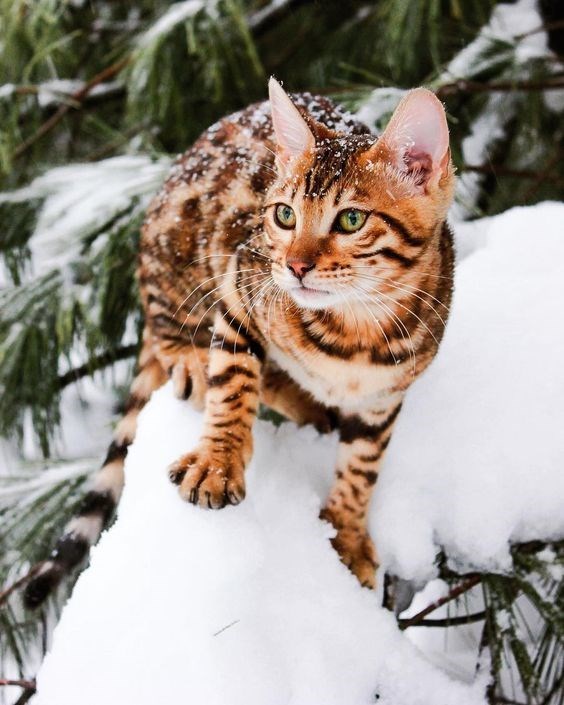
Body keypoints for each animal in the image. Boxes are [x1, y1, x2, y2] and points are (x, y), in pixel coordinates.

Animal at [25, 77, 454, 604]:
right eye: (285, 215)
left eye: (351, 220)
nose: (295, 265)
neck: (354, 329)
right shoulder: (242, 278)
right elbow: (233, 377)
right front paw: (218, 461)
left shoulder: (383, 395)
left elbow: (363, 464)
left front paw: (348, 535)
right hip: (177, 251)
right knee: (175, 334)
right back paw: (202, 365)